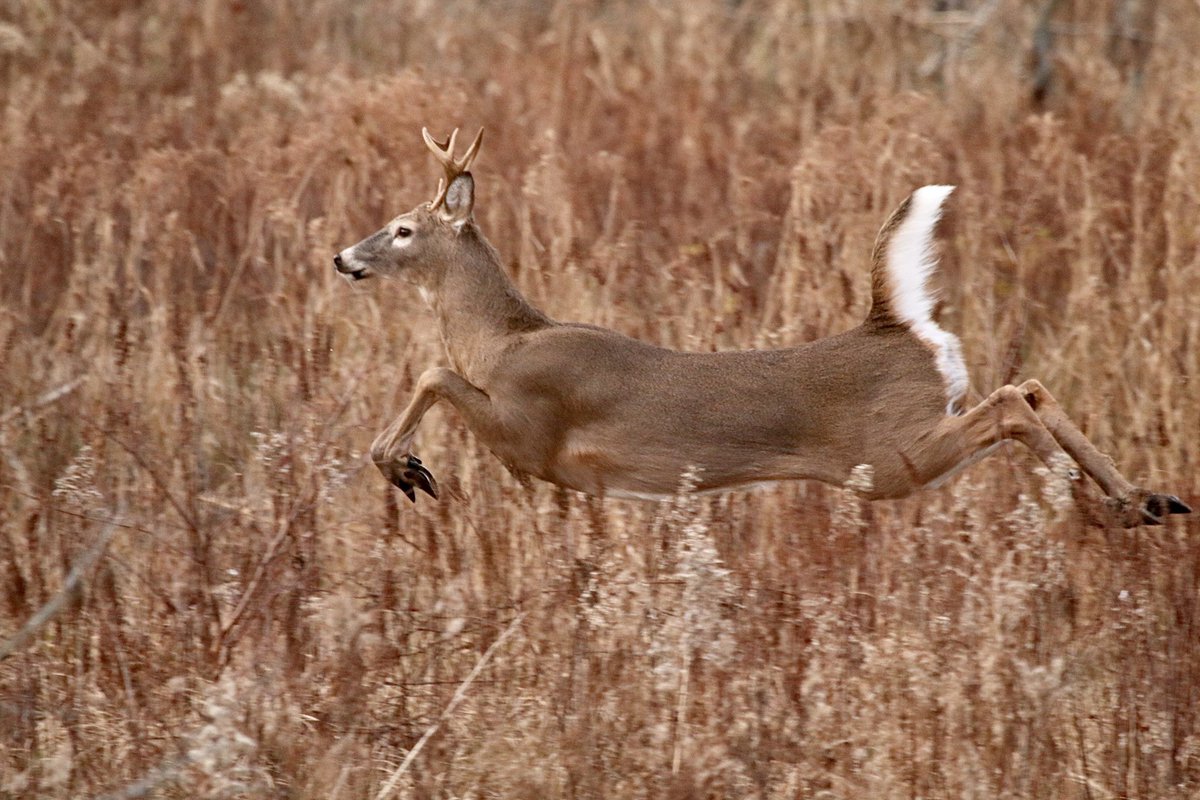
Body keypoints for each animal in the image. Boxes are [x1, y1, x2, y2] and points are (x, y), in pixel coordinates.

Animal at [333, 127, 1191, 527]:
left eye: (403, 229)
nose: (343, 257)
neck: (502, 338)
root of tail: (891, 324)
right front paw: (406, 467)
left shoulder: (529, 432)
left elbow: (431, 371)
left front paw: (406, 469)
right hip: (905, 447)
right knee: (1034, 386)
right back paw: (1148, 500)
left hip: (890, 455)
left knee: (1012, 401)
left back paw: (1102, 502)